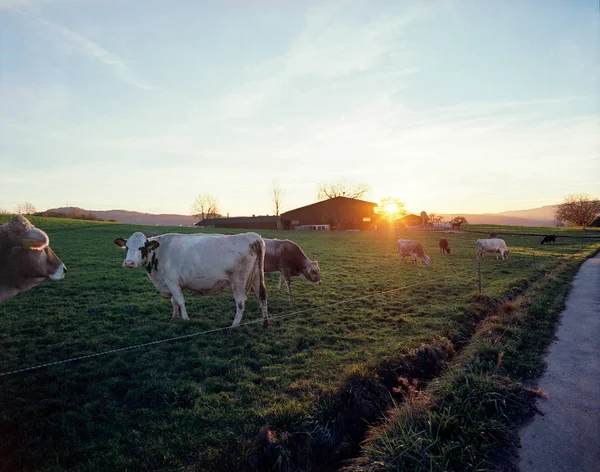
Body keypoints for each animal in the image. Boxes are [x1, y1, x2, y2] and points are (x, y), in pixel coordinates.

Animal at [113, 230, 268, 326]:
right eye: (127, 247)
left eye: (142, 247)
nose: (129, 263)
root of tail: (253, 236)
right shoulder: (170, 283)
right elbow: (173, 301)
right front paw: (174, 317)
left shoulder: (172, 282)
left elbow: (180, 301)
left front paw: (185, 319)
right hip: (256, 277)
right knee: (262, 296)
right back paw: (264, 322)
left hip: (238, 282)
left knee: (241, 302)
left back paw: (234, 325)